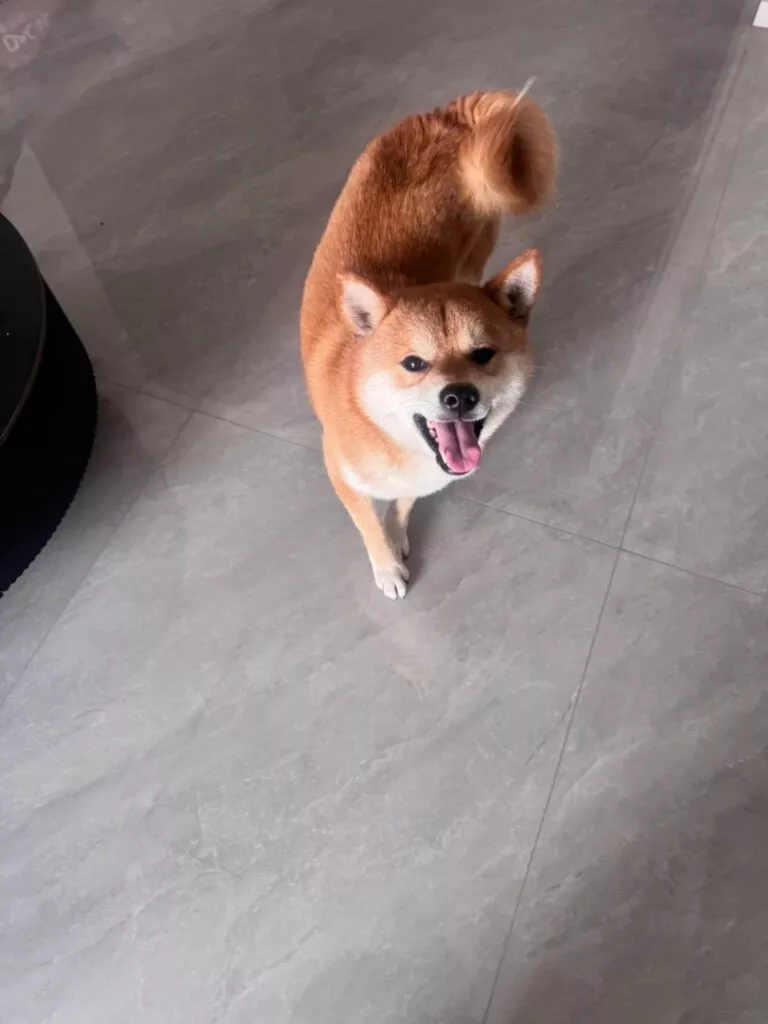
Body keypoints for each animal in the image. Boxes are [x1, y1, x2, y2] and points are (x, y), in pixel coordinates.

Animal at [300, 88, 557, 598]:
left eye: (483, 355)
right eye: (413, 364)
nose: (459, 396)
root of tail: (447, 117)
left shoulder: (417, 480)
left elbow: (402, 504)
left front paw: (398, 535)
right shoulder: (341, 475)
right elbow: (367, 524)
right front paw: (386, 566)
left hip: (474, 252)